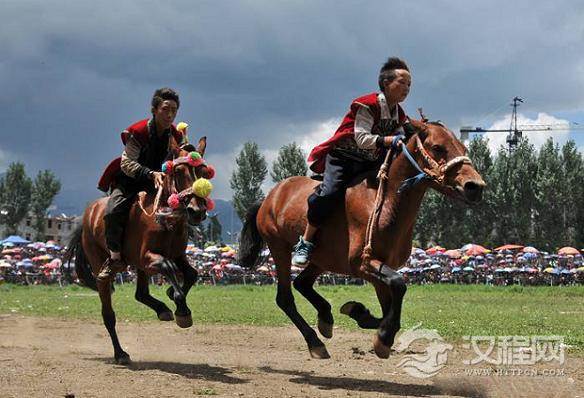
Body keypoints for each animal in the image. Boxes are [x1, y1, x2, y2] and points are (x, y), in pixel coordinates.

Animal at [66, 136, 212, 364]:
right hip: (102, 267)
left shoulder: (177, 254)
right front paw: (181, 309)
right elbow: (168, 267)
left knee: (141, 294)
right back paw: (120, 354)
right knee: (108, 314)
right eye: (179, 171)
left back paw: (162, 310)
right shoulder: (148, 258)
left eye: (204, 172)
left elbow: (191, 273)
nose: (197, 211)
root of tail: (88, 215)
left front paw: (172, 294)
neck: (164, 216)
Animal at [240, 119, 486, 360]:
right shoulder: (362, 263)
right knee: (285, 298)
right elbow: (399, 285)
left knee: (302, 283)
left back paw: (326, 318)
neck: (385, 202)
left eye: (463, 148)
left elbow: (390, 305)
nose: (475, 186)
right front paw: (382, 336)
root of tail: (269, 197)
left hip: (322, 260)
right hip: (279, 247)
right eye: (437, 147)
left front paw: (360, 314)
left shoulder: (379, 269)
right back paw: (315, 343)